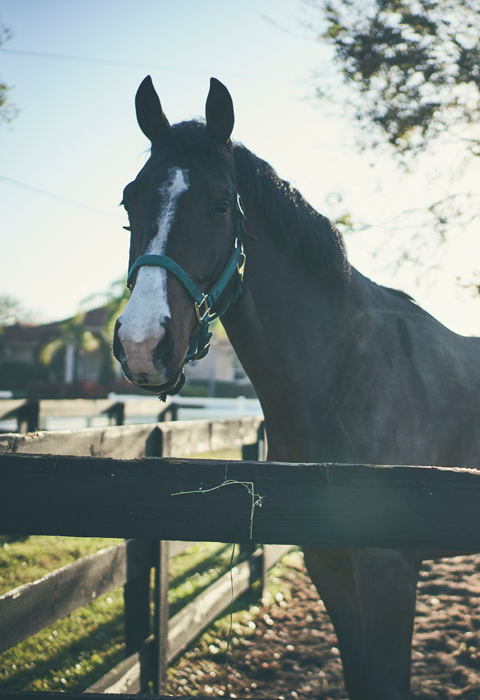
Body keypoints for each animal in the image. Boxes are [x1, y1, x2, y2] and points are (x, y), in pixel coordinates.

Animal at [113, 76, 480, 700]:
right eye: (129, 199)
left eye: (220, 204)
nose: (142, 343)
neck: (348, 373)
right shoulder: (327, 561)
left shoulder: (388, 570)